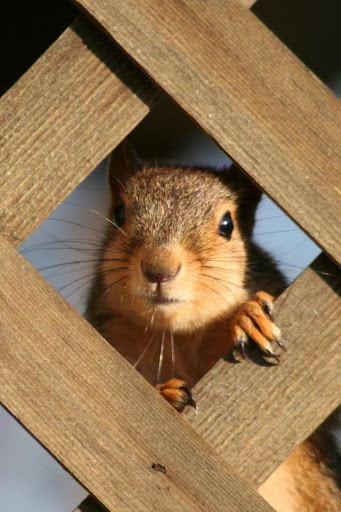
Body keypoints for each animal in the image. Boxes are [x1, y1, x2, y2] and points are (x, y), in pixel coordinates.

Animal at [85, 141, 340, 512]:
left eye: (227, 224)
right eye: (118, 214)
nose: (159, 269)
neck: (182, 335)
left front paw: (250, 316)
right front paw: (165, 393)